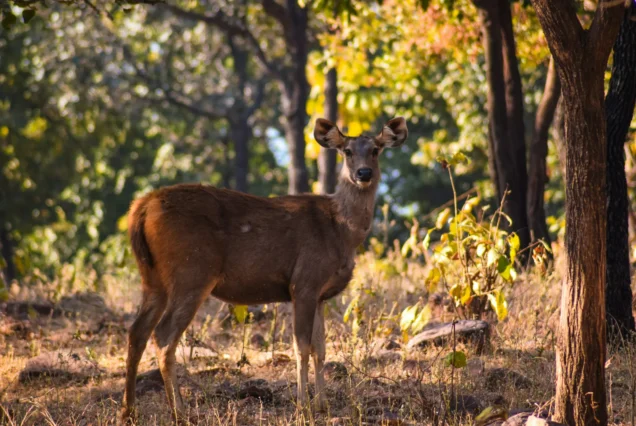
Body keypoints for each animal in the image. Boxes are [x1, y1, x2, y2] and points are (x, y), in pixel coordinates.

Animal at [119, 115, 408, 422]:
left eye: (376, 149)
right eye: (347, 151)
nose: (364, 173)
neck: (341, 231)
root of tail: (141, 208)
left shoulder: (320, 294)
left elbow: (321, 349)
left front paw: (322, 405)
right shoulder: (304, 281)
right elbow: (301, 347)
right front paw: (303, 407)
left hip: (152, 278)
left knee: (137, 331)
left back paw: (129, 411)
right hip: (192, 272)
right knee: (163, 336)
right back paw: (180, 413)